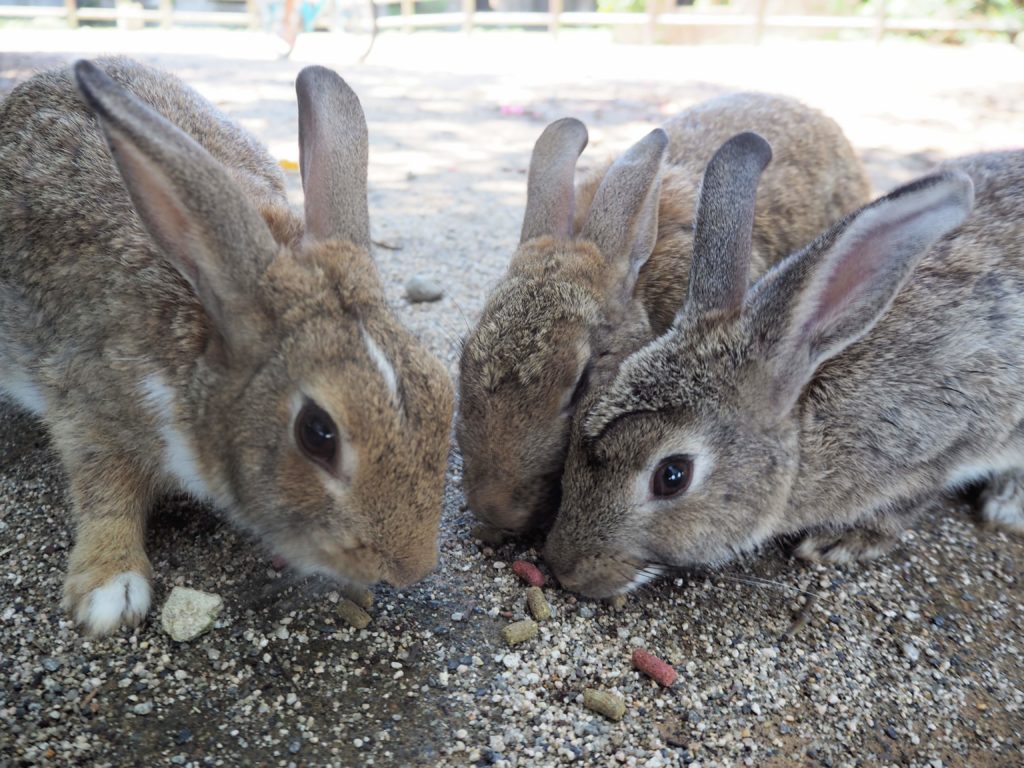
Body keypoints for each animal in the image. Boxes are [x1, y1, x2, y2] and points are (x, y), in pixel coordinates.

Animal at [0, 58, 452, 638]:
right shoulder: (89, 404)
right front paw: (109, 590)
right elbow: (104, 494)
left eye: (443, 392)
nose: (409, 568)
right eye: (317, 434)